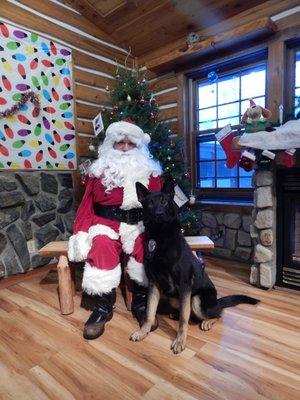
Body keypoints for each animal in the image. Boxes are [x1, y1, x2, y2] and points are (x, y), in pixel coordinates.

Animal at [130, 178, 258, 354]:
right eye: (150, 203)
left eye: (164, 201)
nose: (159, 214)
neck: (160, 236)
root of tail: (216, 301)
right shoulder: (153, 283)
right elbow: (149, 311)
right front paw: (143, 331)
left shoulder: (184, 285)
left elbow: (183, 320)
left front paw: (180, 340)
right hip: (175, 298)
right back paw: (174, 315)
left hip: (196, 300)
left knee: (217, 314)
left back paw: (208, 321)